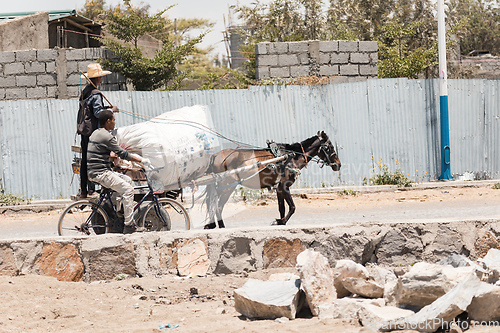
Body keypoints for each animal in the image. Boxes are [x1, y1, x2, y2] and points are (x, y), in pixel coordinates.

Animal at [203, 130, 340, 228]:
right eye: (329, 147)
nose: (338, 165)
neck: (290, 157)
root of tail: (215, 156)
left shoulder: (279, 188)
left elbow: (282, 208)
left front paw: (281, 221)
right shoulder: (284, 186)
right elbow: (292, 207)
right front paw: (281, 221)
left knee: (213, 204)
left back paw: (211, 224)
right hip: (228, 186)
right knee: (218, 206)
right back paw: (221, 226)